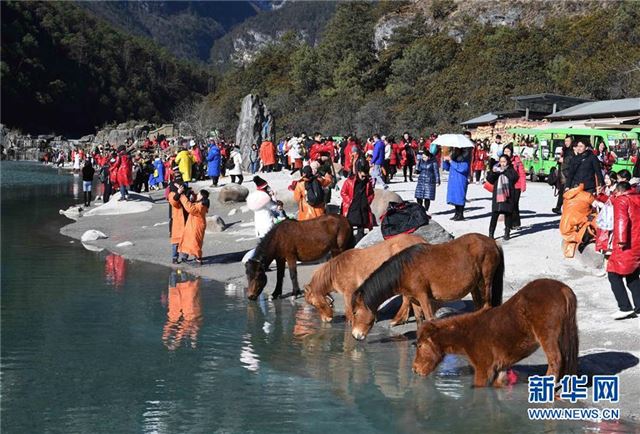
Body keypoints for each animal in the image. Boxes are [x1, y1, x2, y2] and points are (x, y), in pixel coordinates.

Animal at [350, 232, 504, 340]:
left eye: (355, 312)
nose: (355, 335)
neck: (405, 269)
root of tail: (493, 242)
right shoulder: (414, 299)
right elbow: (419, 320)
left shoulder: (423, 297)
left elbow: (429, 319)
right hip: (475, 286)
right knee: (478, 308)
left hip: (485, 281)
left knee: (487, 306)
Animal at [412, 280, 576, 388]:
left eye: (419, 346)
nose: (414, 369)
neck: (467, 335)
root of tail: (563, 288)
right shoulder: (501, 367)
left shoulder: (484, 369)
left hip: (547, 335)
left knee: (556, 359)